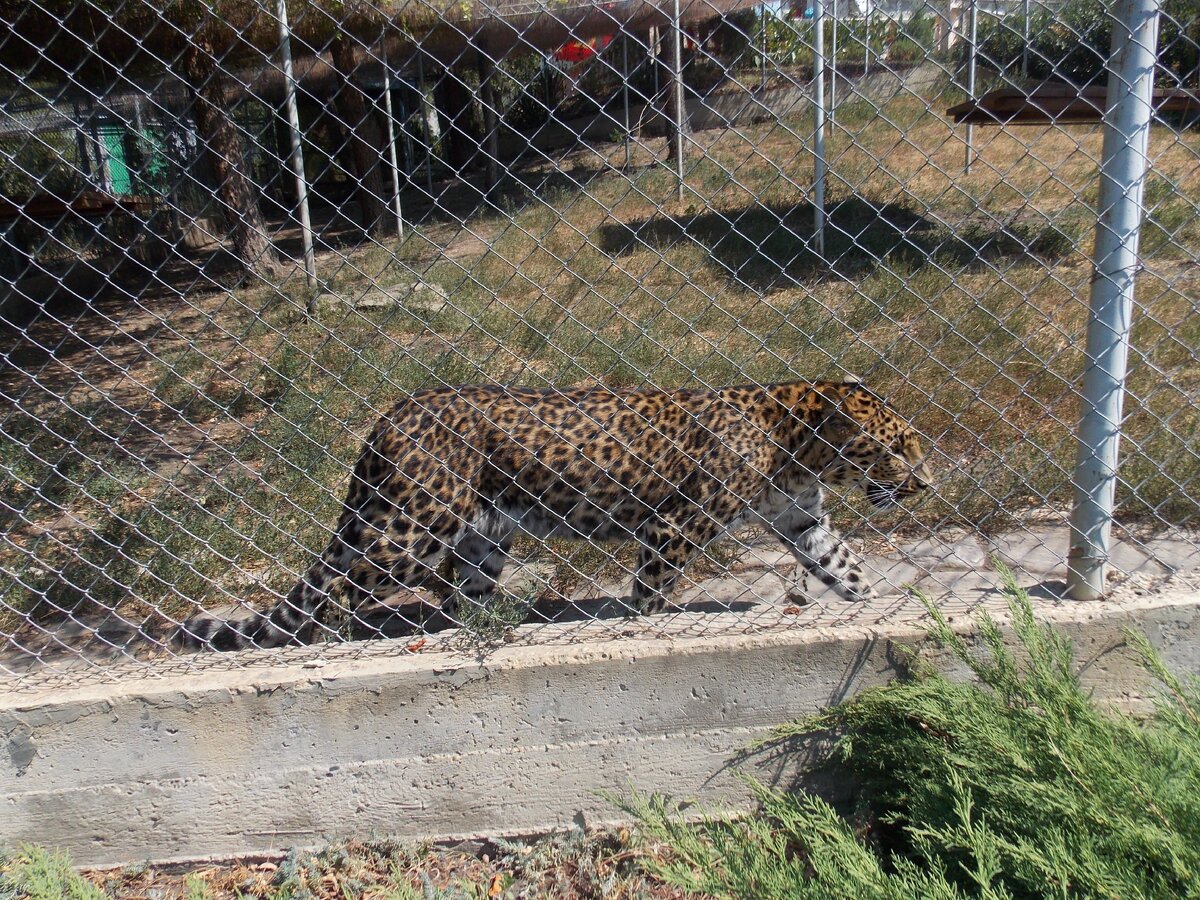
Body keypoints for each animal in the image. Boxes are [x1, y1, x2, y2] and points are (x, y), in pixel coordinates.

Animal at [175, 376, 926, 652]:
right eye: (894, 449)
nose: (923, 483)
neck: (795, 446)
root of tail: (391, 415)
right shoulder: (674, 525)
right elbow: (652, 591)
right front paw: (639, 626)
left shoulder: (803, 521)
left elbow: (843, 566)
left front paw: (877, 603)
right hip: (412, 526)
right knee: (343, 583)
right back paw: (337, 638)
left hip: (482, 536)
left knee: (458, 593)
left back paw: (489, 626)